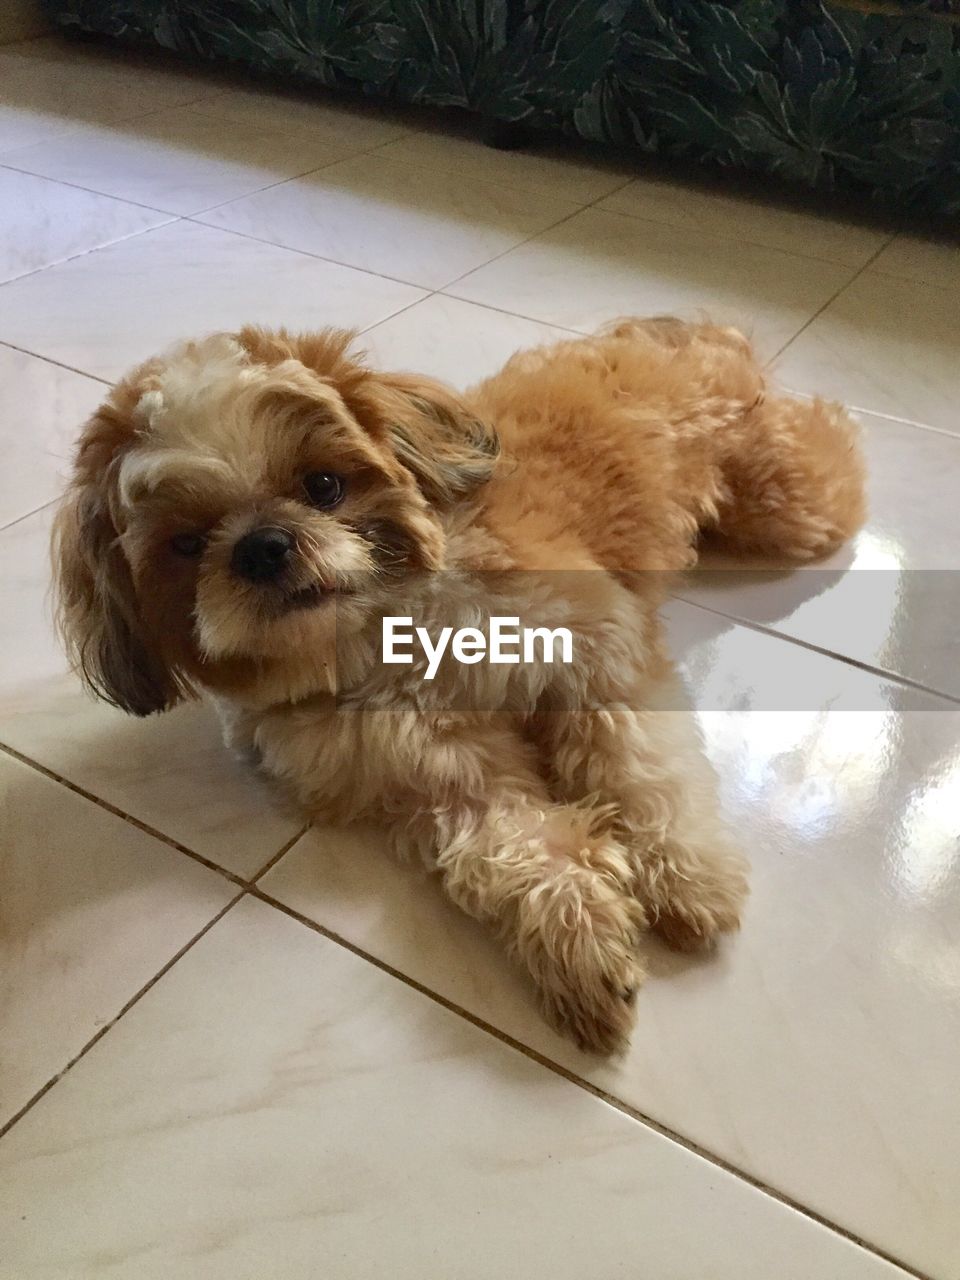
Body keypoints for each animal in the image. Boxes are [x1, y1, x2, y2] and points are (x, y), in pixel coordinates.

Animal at [48, 317, 870, 1049]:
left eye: (323, 486)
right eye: (187, 544)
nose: (264, 546)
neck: (385, 639)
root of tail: (665, 333)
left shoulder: (596, 655)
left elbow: (638, 771)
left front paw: (683, 878)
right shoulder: (443, 777)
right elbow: (518, 844)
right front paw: (578, 940)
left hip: (790, 502)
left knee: (827, 441)